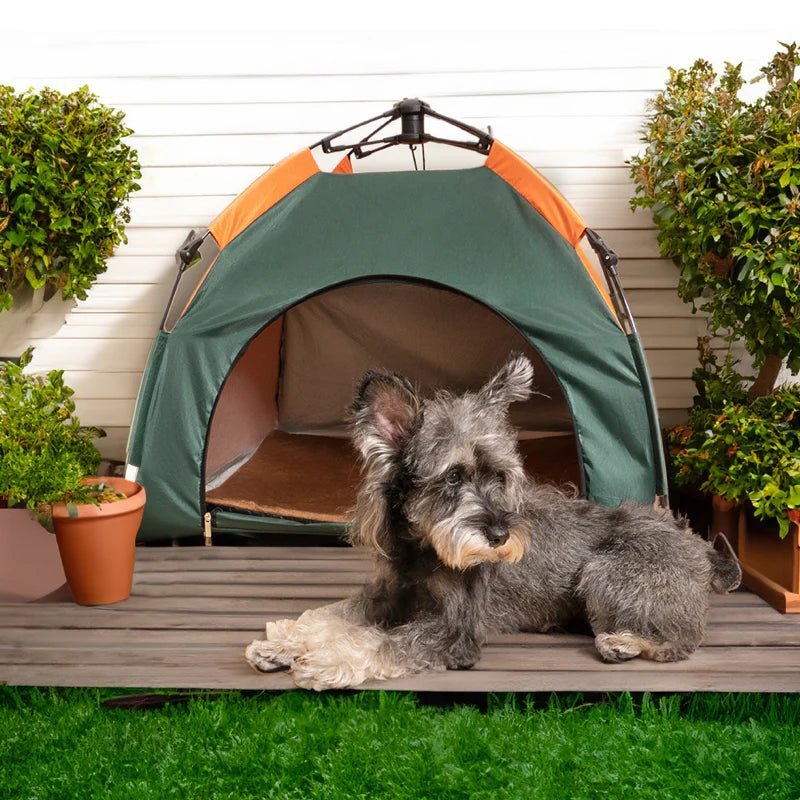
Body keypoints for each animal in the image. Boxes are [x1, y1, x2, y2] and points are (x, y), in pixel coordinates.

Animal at [245, 354, 744, 692]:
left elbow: (379, 642)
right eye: (453, 476)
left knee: (683, 640)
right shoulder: (387, 594)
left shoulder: (453, 631)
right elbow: (331, 614)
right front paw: (282, 644)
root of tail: (699, 549)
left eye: (499, 477)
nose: (501, 536)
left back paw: (622, 643)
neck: (421, 549)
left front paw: (323, 661)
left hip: (606, 571)